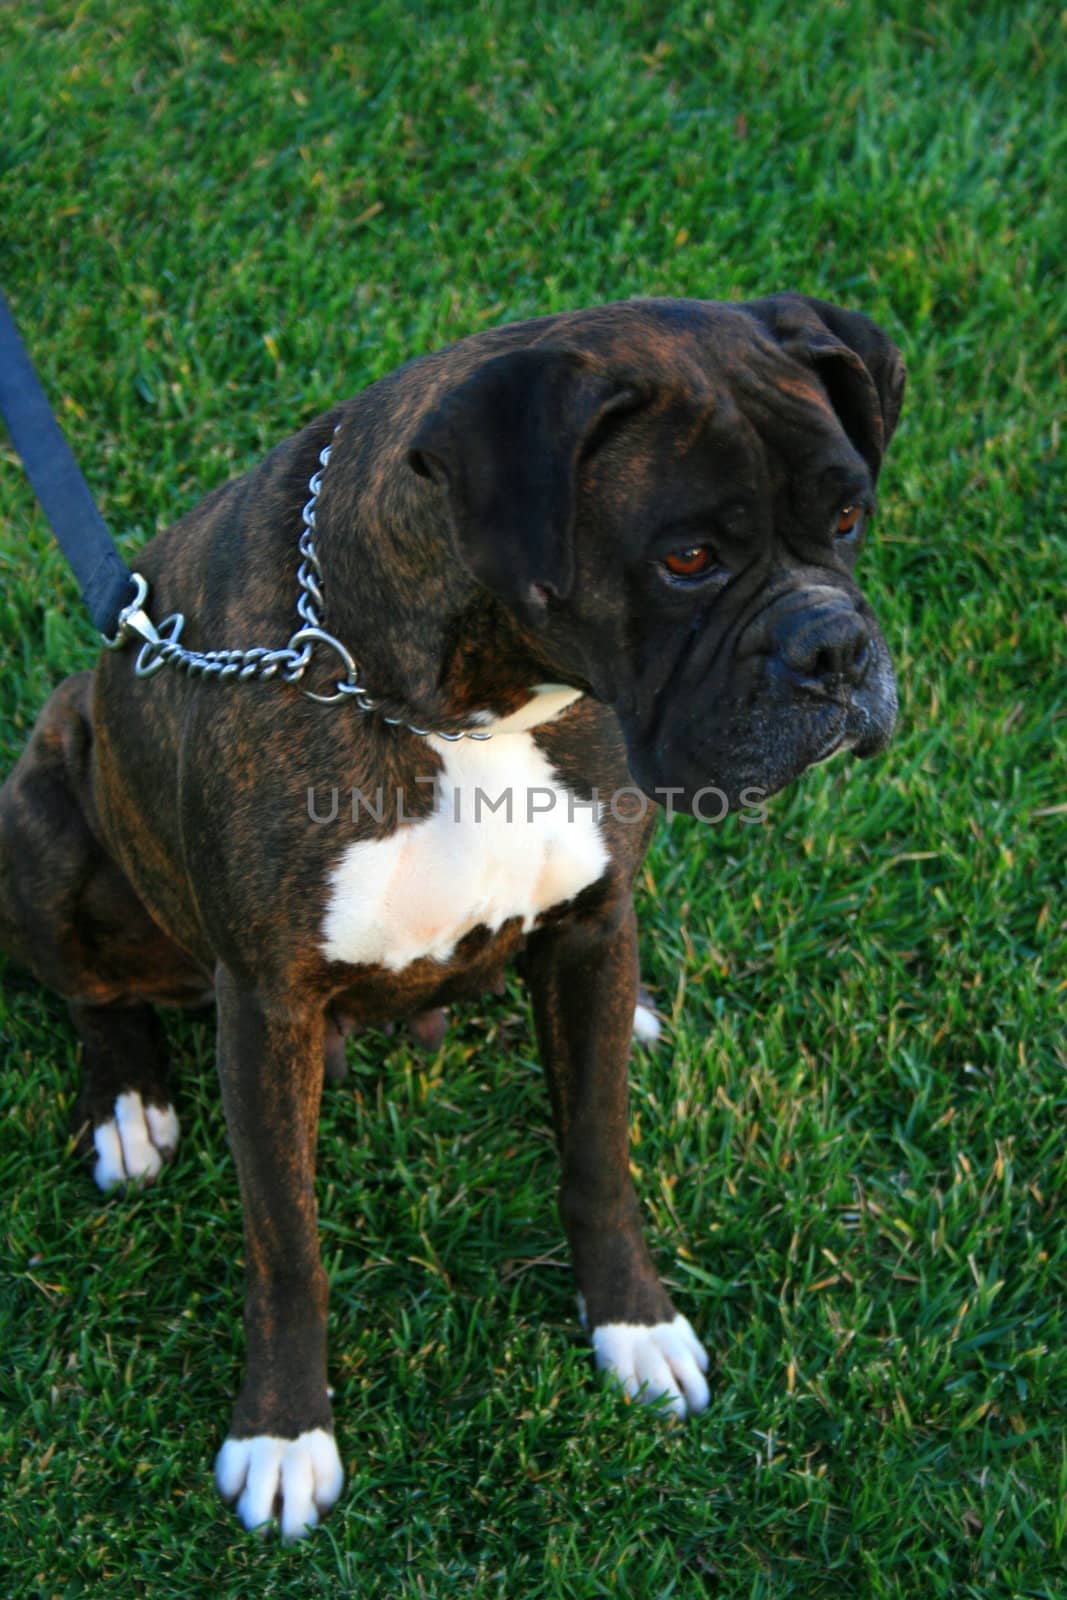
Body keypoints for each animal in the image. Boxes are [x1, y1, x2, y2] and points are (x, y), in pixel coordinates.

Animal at [0, 297, 902, 1536]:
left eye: (848, 518)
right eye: (685, 559)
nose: (833, 644)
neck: (466, 710)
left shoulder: (593, 923)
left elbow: (596, 1158)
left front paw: (633, 1324)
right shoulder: (268, 1009)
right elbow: (286, 1245)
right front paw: (283, 1433)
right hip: (40, 799)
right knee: (92, 990)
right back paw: (128, 1104)